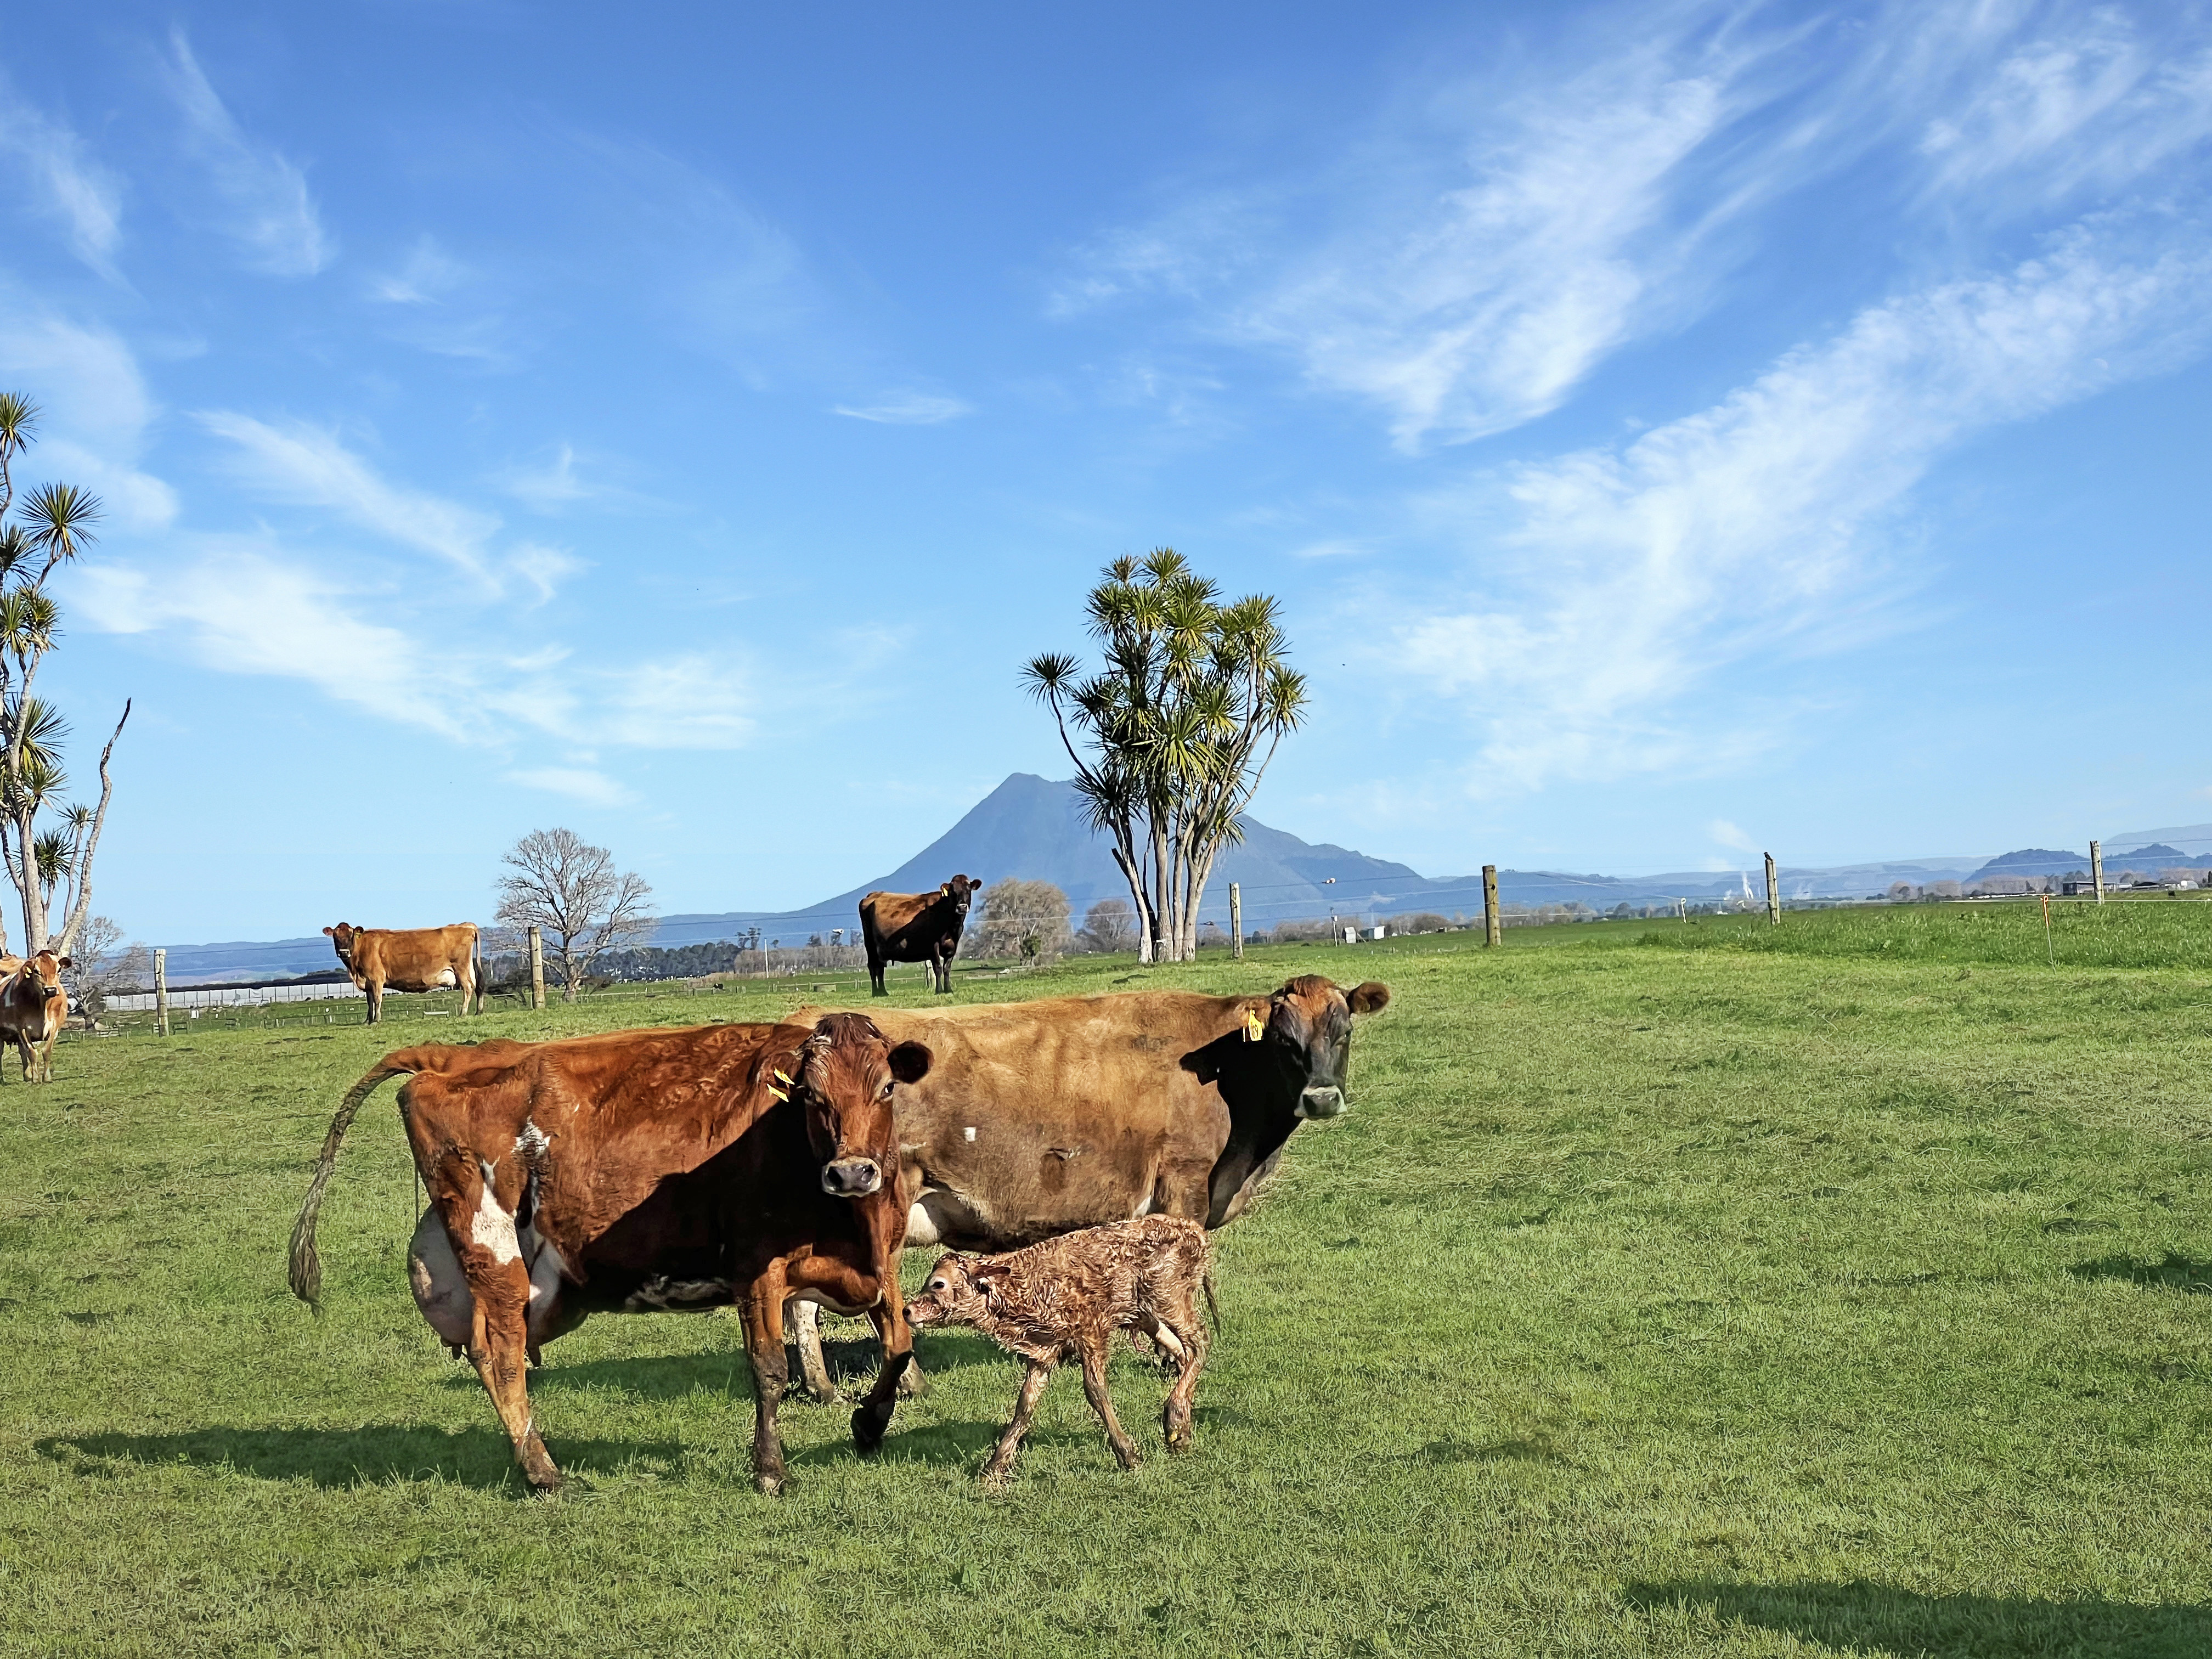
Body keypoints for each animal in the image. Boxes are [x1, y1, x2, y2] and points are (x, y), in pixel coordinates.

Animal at [0, 955, 71, 1084]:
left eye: (59, 970)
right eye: (36, 971)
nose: (51, 990)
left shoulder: (55, 1027)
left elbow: (46, 1052)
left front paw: (47, 1078)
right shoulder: (22, 1028)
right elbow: (32, 1053)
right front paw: (36, 1079)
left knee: (21, 1052)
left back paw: (27, 1076)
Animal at [287, 1013, 933, 1495]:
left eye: (887, 1089)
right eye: (812, 1098)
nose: (851, 1172)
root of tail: (456, 1057)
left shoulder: (882, 1264)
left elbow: (899, 1344)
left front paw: (868, 1424)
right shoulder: (756, 1271)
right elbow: (770, 1369)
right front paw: (771, 1471)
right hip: (492, 1248)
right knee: (500, 1356)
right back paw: (544, 1473)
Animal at [323, 924, 479, 1026]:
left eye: (351, 936)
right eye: (336, 937)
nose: (344, 952)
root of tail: (464, 926)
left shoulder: (377, 978)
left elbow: (378, 1000)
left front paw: (377, 1020)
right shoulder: (367, 982)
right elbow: (370, 1001)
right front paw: (368, 1020)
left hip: (461, 968)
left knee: (468, 988)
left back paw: (463, 1013)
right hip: (468, 969)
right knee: (475, 986)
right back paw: (478, 1011)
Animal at [854, 876, 978, 995]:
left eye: (968, 890)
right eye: (953, 892)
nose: (962, 907)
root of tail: (873, 895)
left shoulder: (953, 946)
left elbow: (947, 968)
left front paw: (949, 990)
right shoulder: (933, 945)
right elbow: (938, 969)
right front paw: (939, 991)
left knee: (880, 968)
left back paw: (883, 992)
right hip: (870, 944)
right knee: (873, 967)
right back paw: (876, 992)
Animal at [907, 1212, 1221, 1486]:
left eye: (938, 1284)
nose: (907, 1310)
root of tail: (1195, 1231)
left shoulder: (1091, 1333)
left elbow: (1096, 1392)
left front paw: (1128, 1455)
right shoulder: (1044, 1351)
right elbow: (1025, 1405)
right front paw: (993, 1468)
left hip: (1168, 1296)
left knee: (1200, 1343)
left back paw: (1175, 1418)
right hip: (1145, 1312)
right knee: (1181, 1352)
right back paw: (1181, 1430)